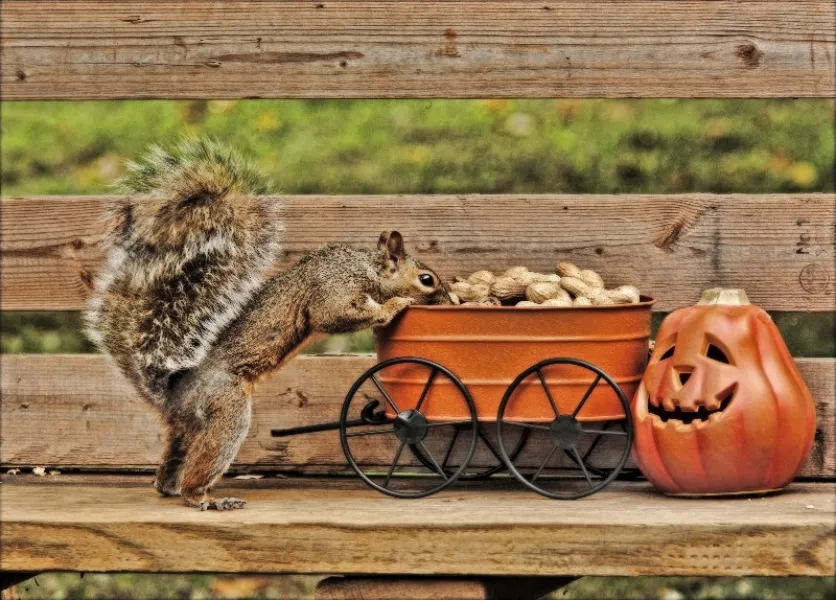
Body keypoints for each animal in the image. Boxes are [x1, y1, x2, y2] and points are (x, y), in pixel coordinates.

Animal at [85, 139, 452, 510]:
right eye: (427, 280)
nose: (450, 299)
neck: (365, 269)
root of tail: (173, 397)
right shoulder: (333, 290)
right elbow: (337, 314)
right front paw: (394, 305)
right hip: (225, 408)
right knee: (202, 465)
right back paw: (204, 498)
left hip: (186, 430)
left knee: (170, 468)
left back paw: (169, 486)